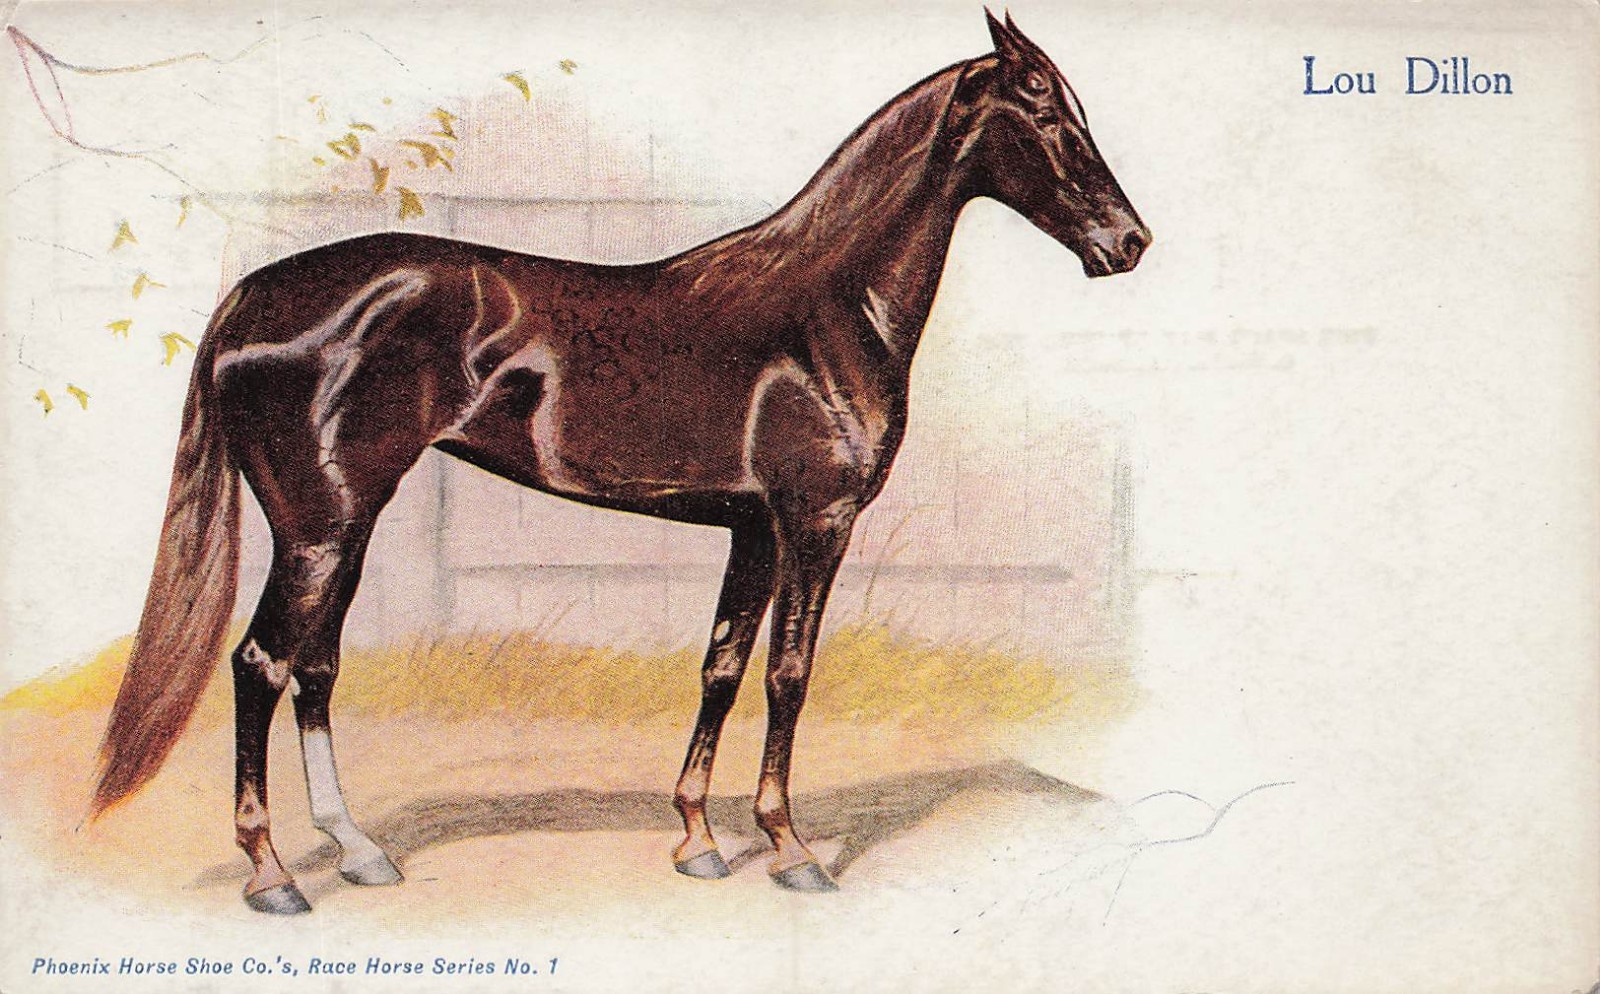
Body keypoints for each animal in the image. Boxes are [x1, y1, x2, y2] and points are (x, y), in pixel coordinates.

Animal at [90, 10, 1150, 914]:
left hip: (344, 529)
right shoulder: (816, 523)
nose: (1129, 242)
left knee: (314, 667)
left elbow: (722, 667)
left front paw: (699, 839)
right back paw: (272, 874)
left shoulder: (754, 529)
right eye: (1048, 115)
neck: (824, 311)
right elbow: (789, 674)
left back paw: (357, 850)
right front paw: (790, 848)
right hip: (319, 529)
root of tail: (253, 294)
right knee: (261, 664)